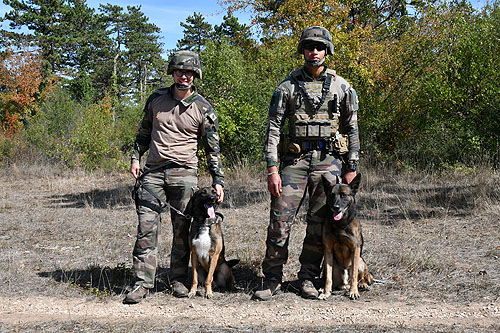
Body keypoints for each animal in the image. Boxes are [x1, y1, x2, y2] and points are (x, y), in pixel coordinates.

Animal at [320, 172, 372, 300]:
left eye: (343, 195)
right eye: (331, 195)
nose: (335, 207)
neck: (340, 225)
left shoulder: (355, 249)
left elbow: (354, 276)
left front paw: (354, 292)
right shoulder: (327, 250)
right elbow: (328, 277)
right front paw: (326, 292)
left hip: (361, 261)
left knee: (360, 278)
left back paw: (362, 285)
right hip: (331, 266)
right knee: (337, 282)